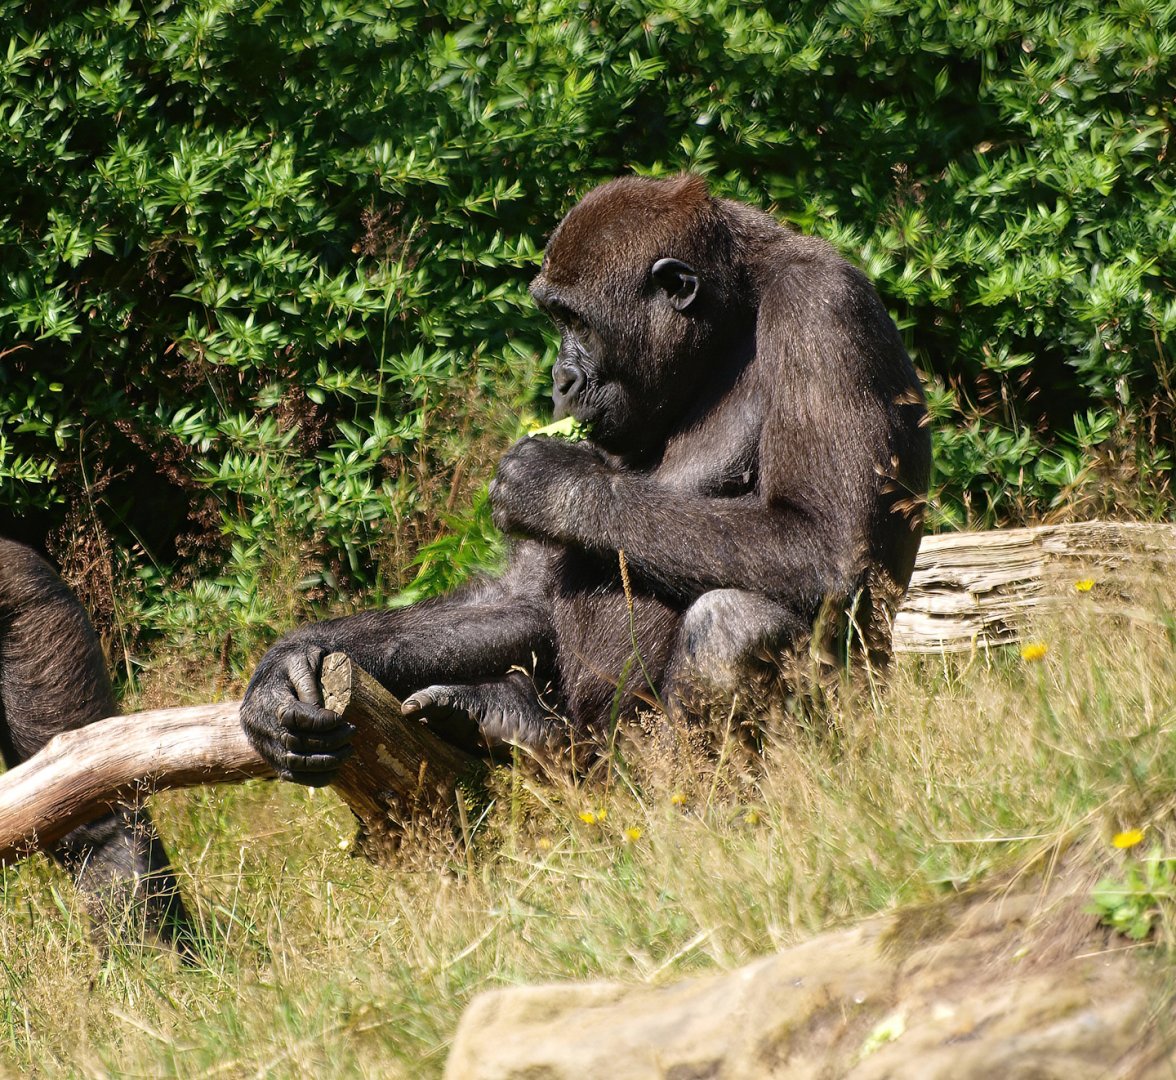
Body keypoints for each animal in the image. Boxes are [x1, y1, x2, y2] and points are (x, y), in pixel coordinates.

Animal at [240, 174, 930, 783]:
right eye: (555, 321)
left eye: (576, 321)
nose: (560, 379)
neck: (729, 314)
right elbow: (522, 596)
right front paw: (289, 660)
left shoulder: (822, 309)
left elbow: (831, 545)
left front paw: (555, 487)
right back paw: (516, 724)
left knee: (732, 628)